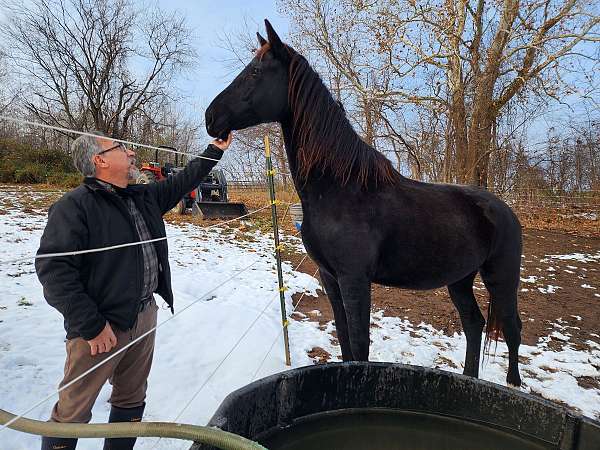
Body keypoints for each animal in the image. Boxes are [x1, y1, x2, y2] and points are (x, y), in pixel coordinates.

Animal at [205, 20, 520, 386]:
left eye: (255, 71)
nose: (211, 117)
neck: (341, 189)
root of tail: (502, 208)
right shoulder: (330, 278)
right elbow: (344, 341)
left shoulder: (354, 279)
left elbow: (359, 345)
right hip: (460, 279)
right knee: (473, 324)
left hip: (502, 278)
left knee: (512, 329)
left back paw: (513, 385)